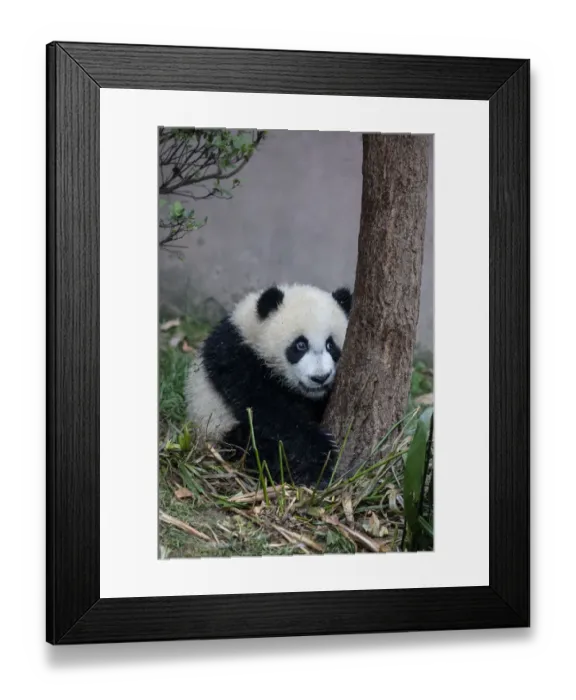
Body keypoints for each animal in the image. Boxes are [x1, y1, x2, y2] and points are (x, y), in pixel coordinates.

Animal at [185, 283, 352, 487]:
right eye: (300, 345)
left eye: (330, 345)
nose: (320, 377)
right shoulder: (237, 360)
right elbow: (269, 411)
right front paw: (319, 454)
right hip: (216, 427)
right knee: (251, 446)